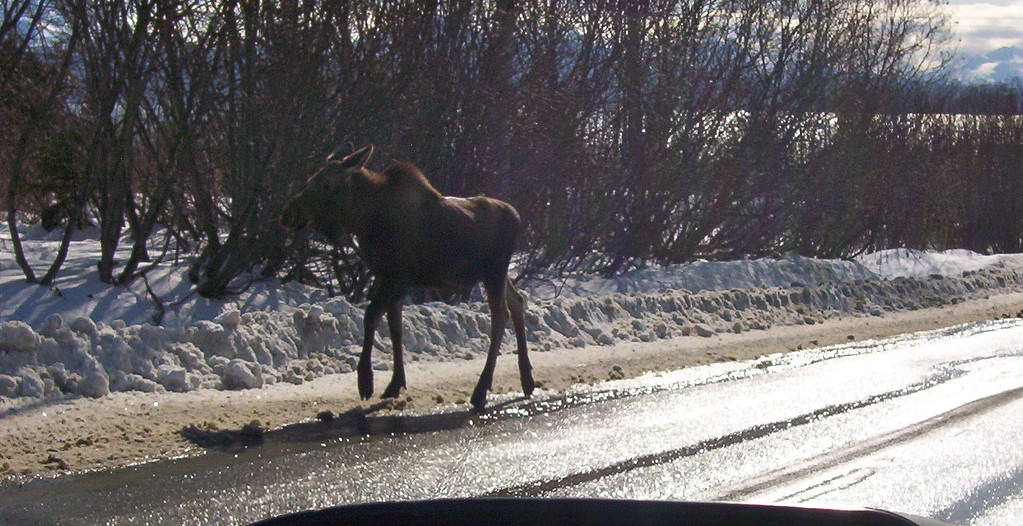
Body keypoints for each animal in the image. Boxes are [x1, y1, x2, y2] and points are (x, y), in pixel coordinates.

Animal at [280, 143, 536, 409]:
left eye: (326, 184)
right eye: (310, 180)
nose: (288, 213)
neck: (365, 220)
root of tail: (518, 217)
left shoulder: (396, 277)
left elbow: (371, 316)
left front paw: (366, 382)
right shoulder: (388, 278)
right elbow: (395, 328)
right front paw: (395, 383)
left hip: (494, 272)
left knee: (500, 316)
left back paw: (482, 389)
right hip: (497, 274)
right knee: (517, 302)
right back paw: (527, 380)